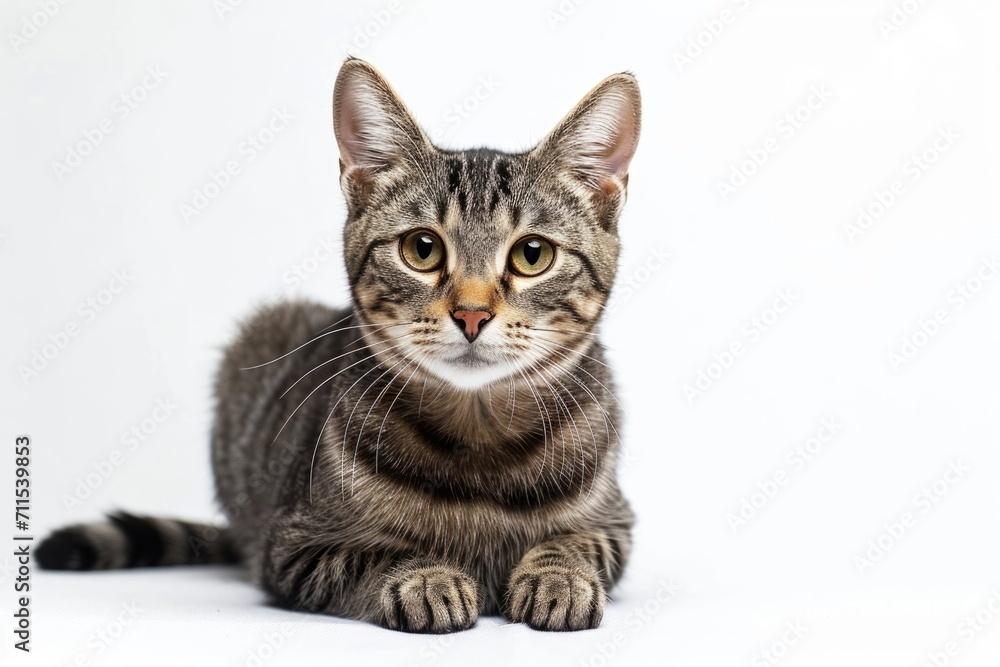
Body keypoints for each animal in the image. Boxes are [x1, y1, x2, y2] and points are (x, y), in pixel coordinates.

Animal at [37, 56, 640, 632]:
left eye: (532, 255)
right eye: (422, 249)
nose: (472, 314)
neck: (477, 437)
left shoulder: (617, 521)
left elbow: (577, 542)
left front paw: (559, 577)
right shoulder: (294, 544)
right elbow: (373, 555)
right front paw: (425, 578)